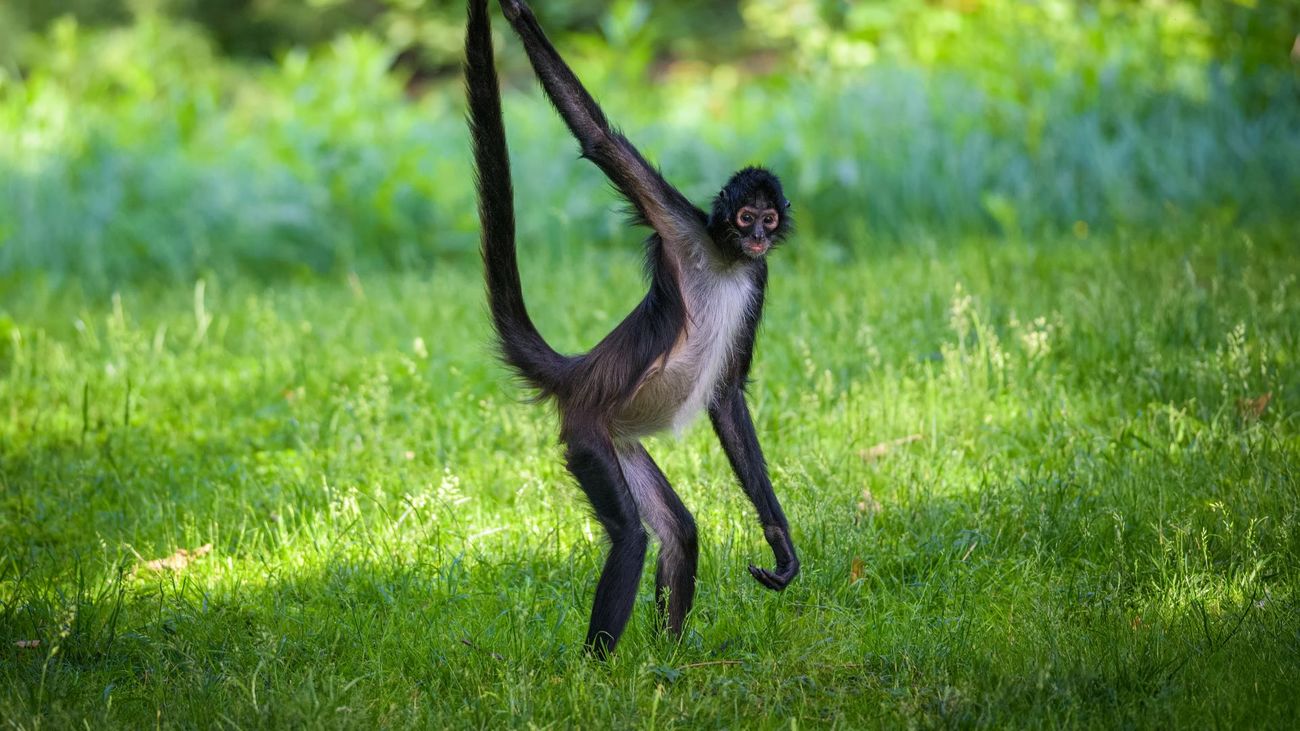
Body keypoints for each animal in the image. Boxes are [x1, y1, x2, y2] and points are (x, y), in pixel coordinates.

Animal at [462, 0, 795, 655]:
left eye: (769, 220)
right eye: (745, 215)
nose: (757, 235)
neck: (725, 258)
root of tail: (581, 372)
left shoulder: (759, 274)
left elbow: (726, 393)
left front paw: (780, 542)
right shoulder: (677, 223)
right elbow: (597, 138)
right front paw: (517, 13)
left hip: (618, 437)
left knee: (678, 531)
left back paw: (671, 659)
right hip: (588, 431)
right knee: (632, 538)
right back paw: (597, 669)